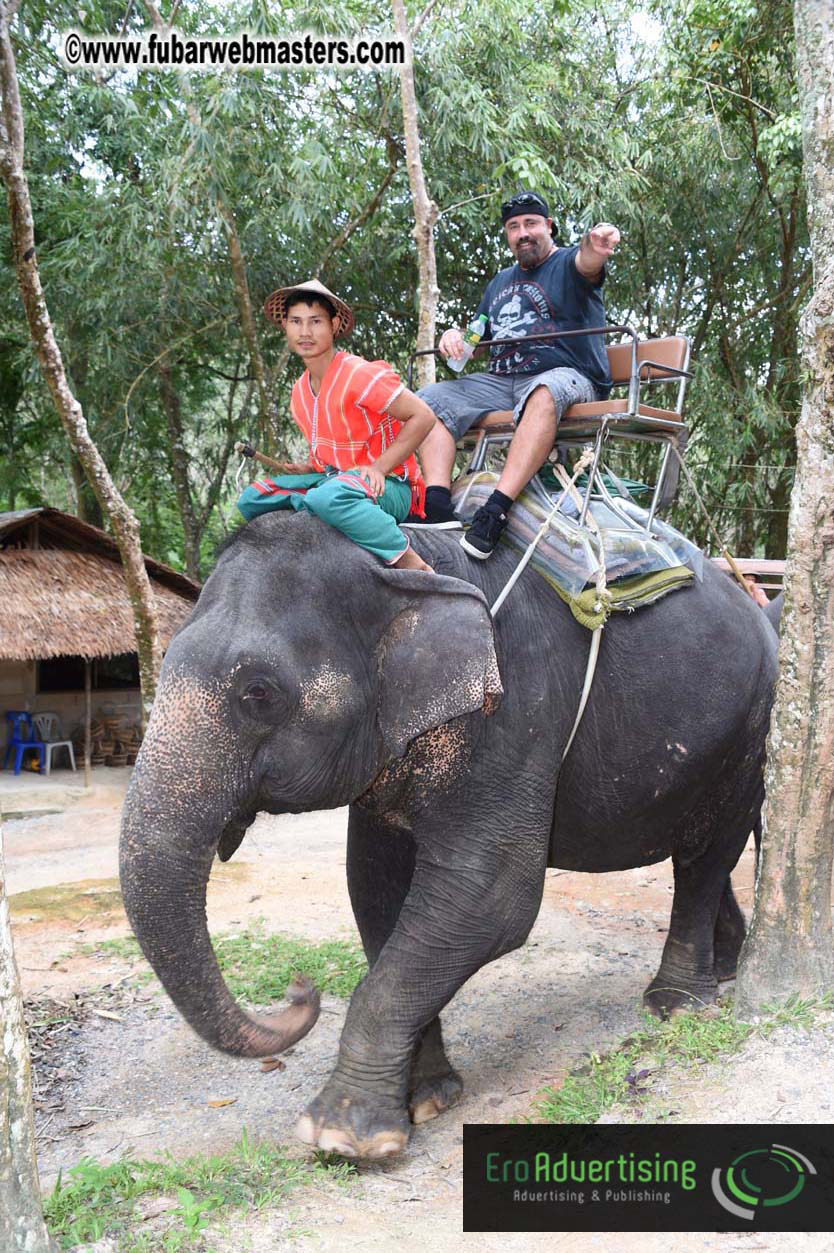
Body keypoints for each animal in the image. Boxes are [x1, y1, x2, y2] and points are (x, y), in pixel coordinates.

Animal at [120, 511, 778, 1160]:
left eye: (259, 693)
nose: (300, 991)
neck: (402, 567)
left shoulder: (514, 711)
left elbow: (491, 900)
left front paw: (343, 1135)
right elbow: (375, 890)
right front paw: (429, 1098)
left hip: (751, 730)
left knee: (706, 853)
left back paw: (676, 1005)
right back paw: (725, 969)